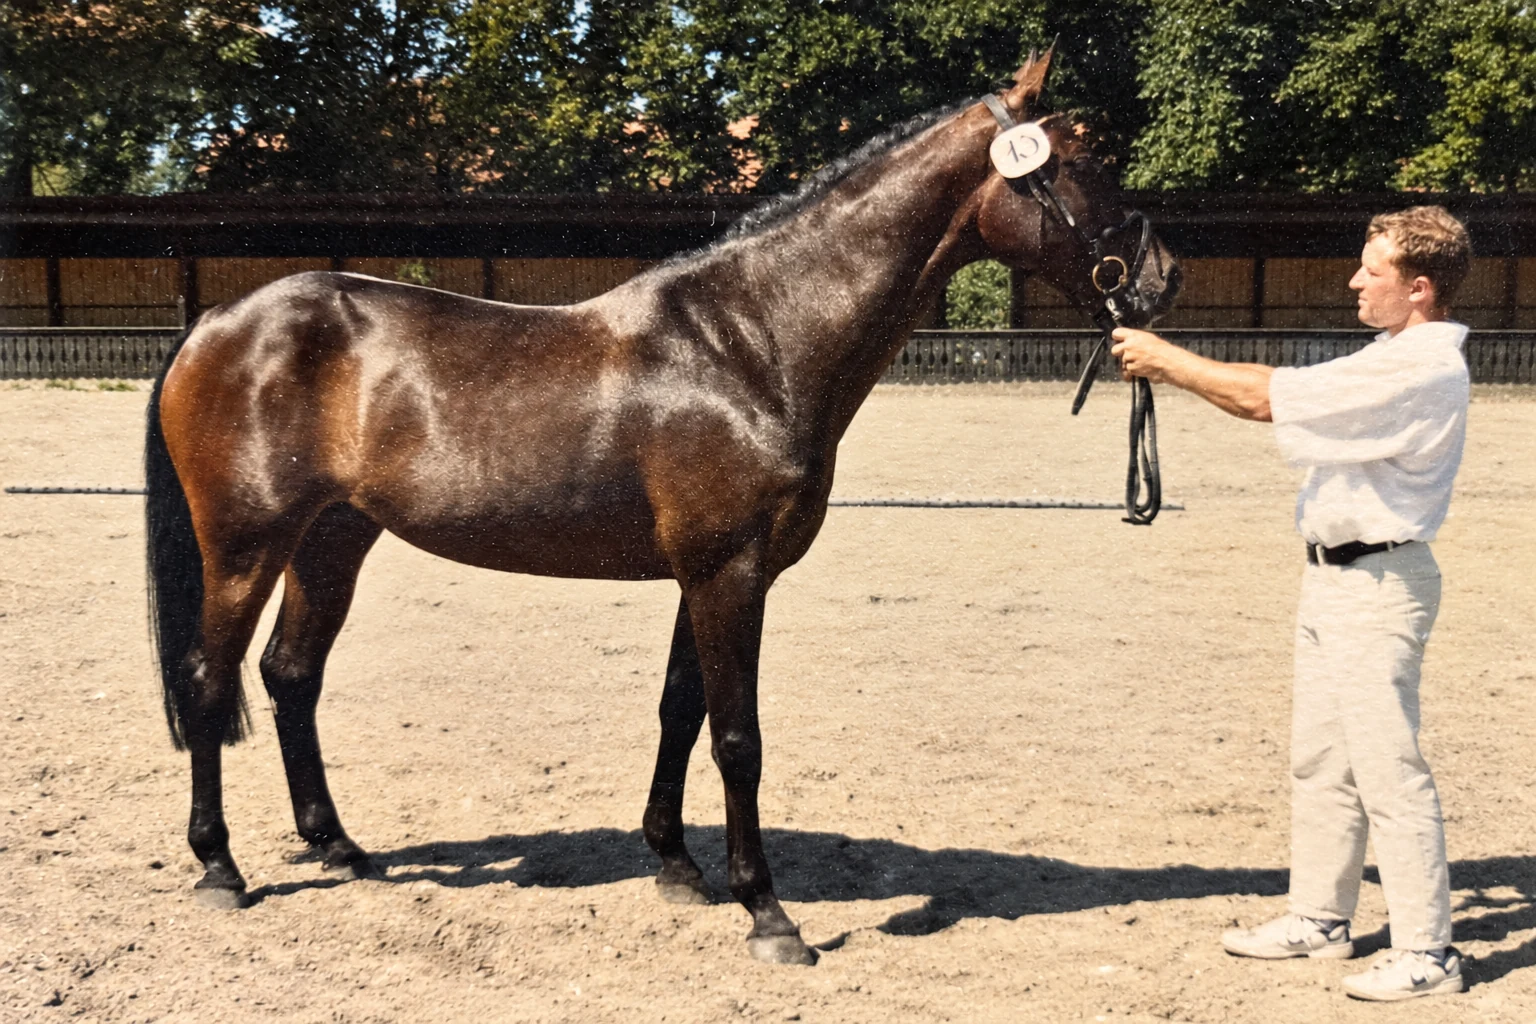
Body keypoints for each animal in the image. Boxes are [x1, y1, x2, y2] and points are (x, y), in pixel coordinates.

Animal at [144, 51, 1180, 966]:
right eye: (1081, 158)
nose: (1161, 276)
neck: (751, 341)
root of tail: (215, 323)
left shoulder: (704, 572)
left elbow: (680, 710)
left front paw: (677, 864)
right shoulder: (730, 571)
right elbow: (737, 737)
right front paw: (768, 913)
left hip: (332, 539)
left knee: (290, 675)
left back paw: (338, 847)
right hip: (245, 545)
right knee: (209, 681)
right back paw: (221, 868)